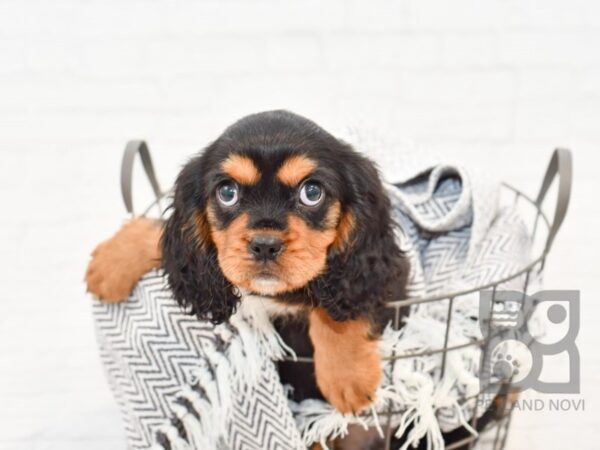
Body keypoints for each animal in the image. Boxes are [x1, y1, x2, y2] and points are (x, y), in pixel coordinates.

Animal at [85, 110, 408, 422]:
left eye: (312, 192)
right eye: (227, 192)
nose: (265, 245)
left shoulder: (383, 277)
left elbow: (333, 309)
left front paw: (348, 376)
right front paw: (115, 257)